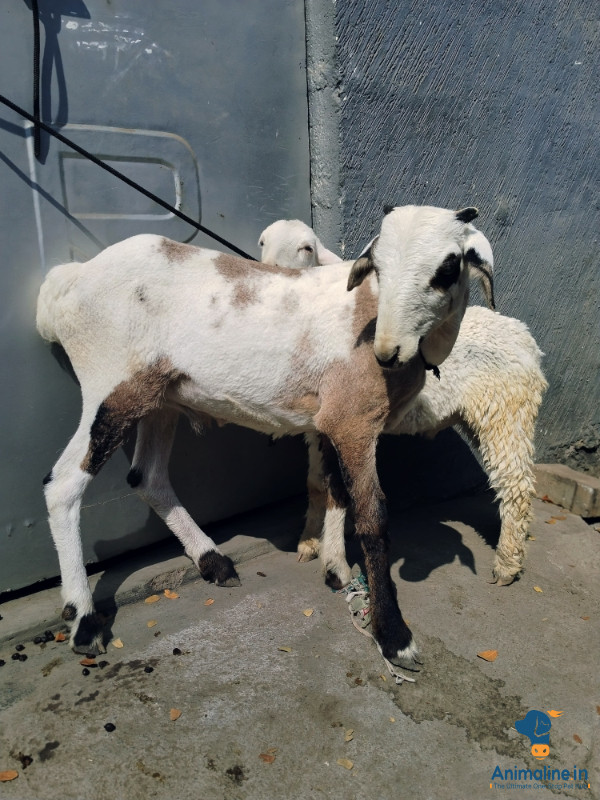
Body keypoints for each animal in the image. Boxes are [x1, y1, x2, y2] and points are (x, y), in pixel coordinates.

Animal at [37, 204, 491, 670]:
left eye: (449, 267)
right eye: (378, 265)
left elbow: (334, 490)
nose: (387, 351)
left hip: (159, 395)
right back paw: (84, 621)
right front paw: (394, 636)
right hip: (109, 382)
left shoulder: (332, 420)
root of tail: (73, 278)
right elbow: (373, 518)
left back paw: (213, 562)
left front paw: (333, 567)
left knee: (147, 477)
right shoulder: (355, 420)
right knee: (63, 485)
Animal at [259, 219, 547, 585]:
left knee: (516, 483)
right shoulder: (316, 427)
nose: (271, 270)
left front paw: (331, 554)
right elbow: (315, 485)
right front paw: (309, 541)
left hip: (507, 409)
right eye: (263, 241)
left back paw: (508, 562)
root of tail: (525, 337)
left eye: (306, 248)